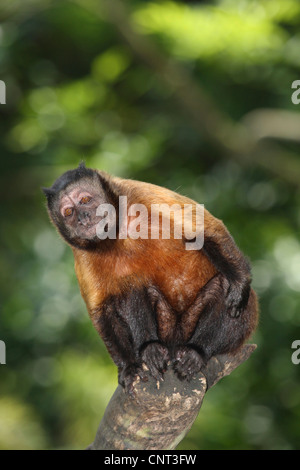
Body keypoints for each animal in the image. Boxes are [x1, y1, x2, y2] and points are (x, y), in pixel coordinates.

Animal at [42, 163, 258, 392]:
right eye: (68, 212)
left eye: (85, 200)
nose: (82, 217)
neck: (116, 233)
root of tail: (175, 344)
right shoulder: (82, 255)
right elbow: (102, 309)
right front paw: (128, 366)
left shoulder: (141, 194)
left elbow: (207, 229)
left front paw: (240, 282)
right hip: (166, 327)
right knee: (131, 286)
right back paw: (150, 348)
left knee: (226, 285)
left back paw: (196, 352)